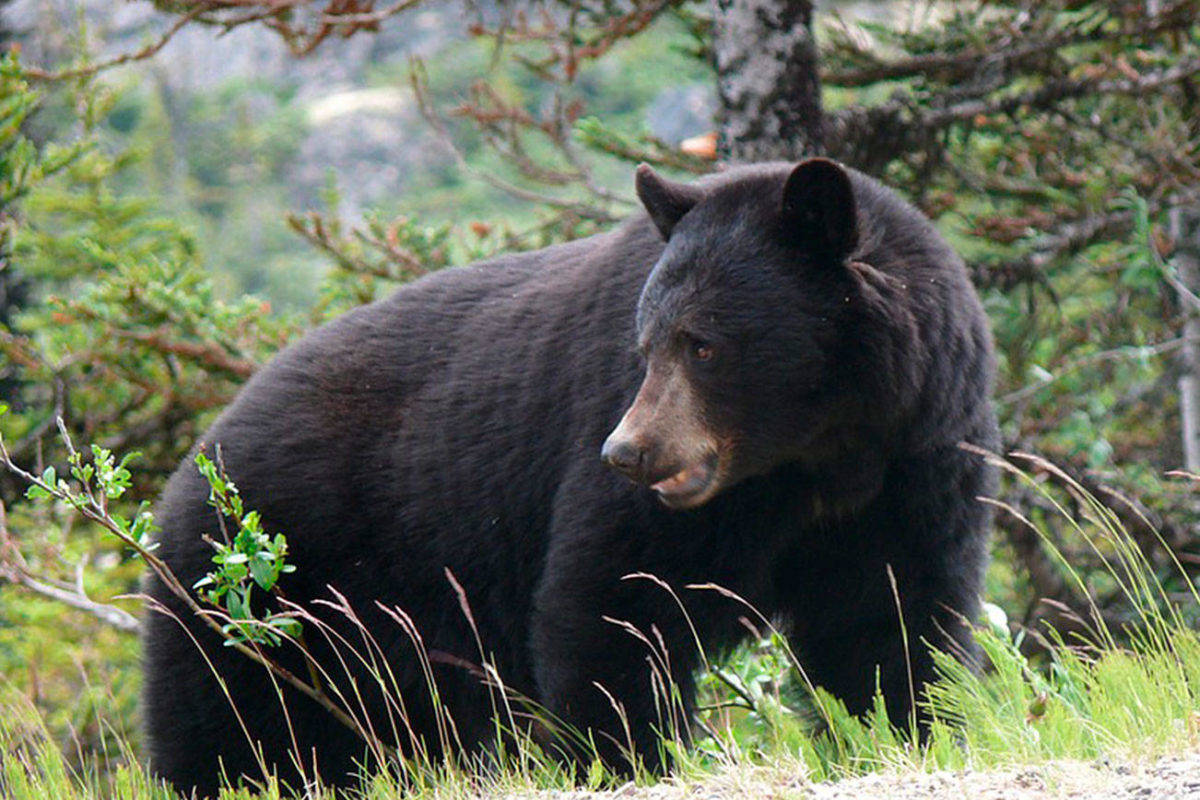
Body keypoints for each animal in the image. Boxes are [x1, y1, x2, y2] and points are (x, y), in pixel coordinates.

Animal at [142, 158, 998, 796]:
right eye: (645, 342)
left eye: (704, 344)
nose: (627, 452)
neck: (813, 457)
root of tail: (192, 466)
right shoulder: (651, 493)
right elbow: (611, 603)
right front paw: (629, 757)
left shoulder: (913, 464)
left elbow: (888, 619)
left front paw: (905, 728)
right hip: (257, 590)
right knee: (229, 725)